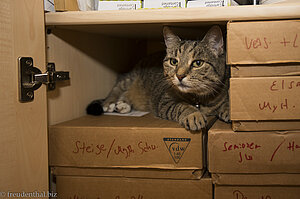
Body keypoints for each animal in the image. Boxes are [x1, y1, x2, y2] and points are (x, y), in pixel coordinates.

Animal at [86, 25, 230, 131]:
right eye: (173, 61)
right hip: (129, 79)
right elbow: (182, 106)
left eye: (197, 63)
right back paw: (110, 104)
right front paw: (193, 114)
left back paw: (122, 105)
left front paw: (228, 109)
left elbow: (227, 100)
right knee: (116, 90)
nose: (179, 75)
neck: (198, 99)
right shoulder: (164, 101)